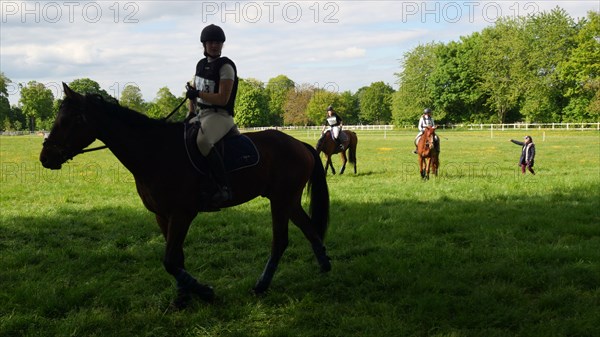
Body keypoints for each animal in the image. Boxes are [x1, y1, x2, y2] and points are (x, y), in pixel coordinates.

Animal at [41, 82, 332, 308]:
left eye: (68, 121)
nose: (45, 158)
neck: (154, 152)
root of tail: (300, 144)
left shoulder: (182, 214)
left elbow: (170, 260)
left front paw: (205, 292)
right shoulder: (162, 215)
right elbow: (176, 258)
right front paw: (183, 298)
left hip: (280, 201)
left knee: (280, 241)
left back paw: (262, 285)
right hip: (288, 200)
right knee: (309, 229)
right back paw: (325, 267)